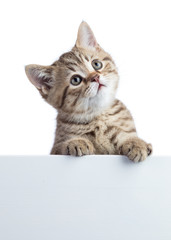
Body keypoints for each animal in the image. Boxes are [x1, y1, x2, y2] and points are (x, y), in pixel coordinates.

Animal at [25, 21, 152, 162]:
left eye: (96, 64)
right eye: (75, 80)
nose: (95, 77)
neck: (98, 116)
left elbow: (128, 137)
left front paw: (137, 144)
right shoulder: (55, 149)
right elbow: (63, 145)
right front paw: (76, 141)